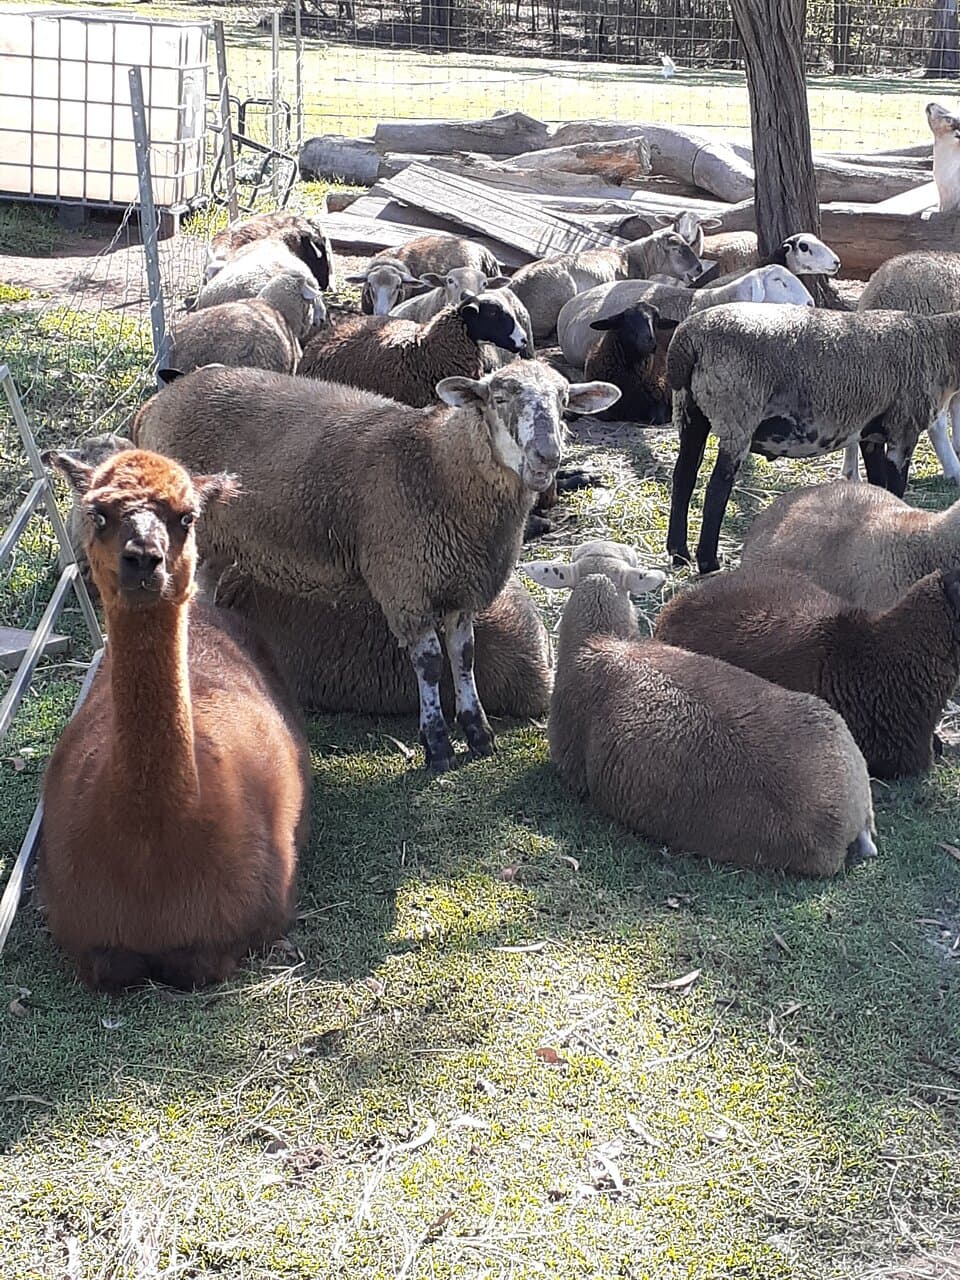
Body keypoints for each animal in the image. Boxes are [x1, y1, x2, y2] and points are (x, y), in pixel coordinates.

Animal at [38, 447, 310, 991]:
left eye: (187, 517)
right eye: (97, 513)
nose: (144, 557)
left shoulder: (257, 918)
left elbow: (198, 962)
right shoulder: (79, 926)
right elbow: (111, 966)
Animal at [665, 302, 960, 574]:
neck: (940, 344)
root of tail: (688, 339)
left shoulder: (872, 434)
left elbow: (879, 485)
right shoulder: (904, 427)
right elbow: (896, 486)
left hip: (690, 411)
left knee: (684, 476)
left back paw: (679, 552)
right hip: (736, 415)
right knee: (716, 488)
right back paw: (708, 562)